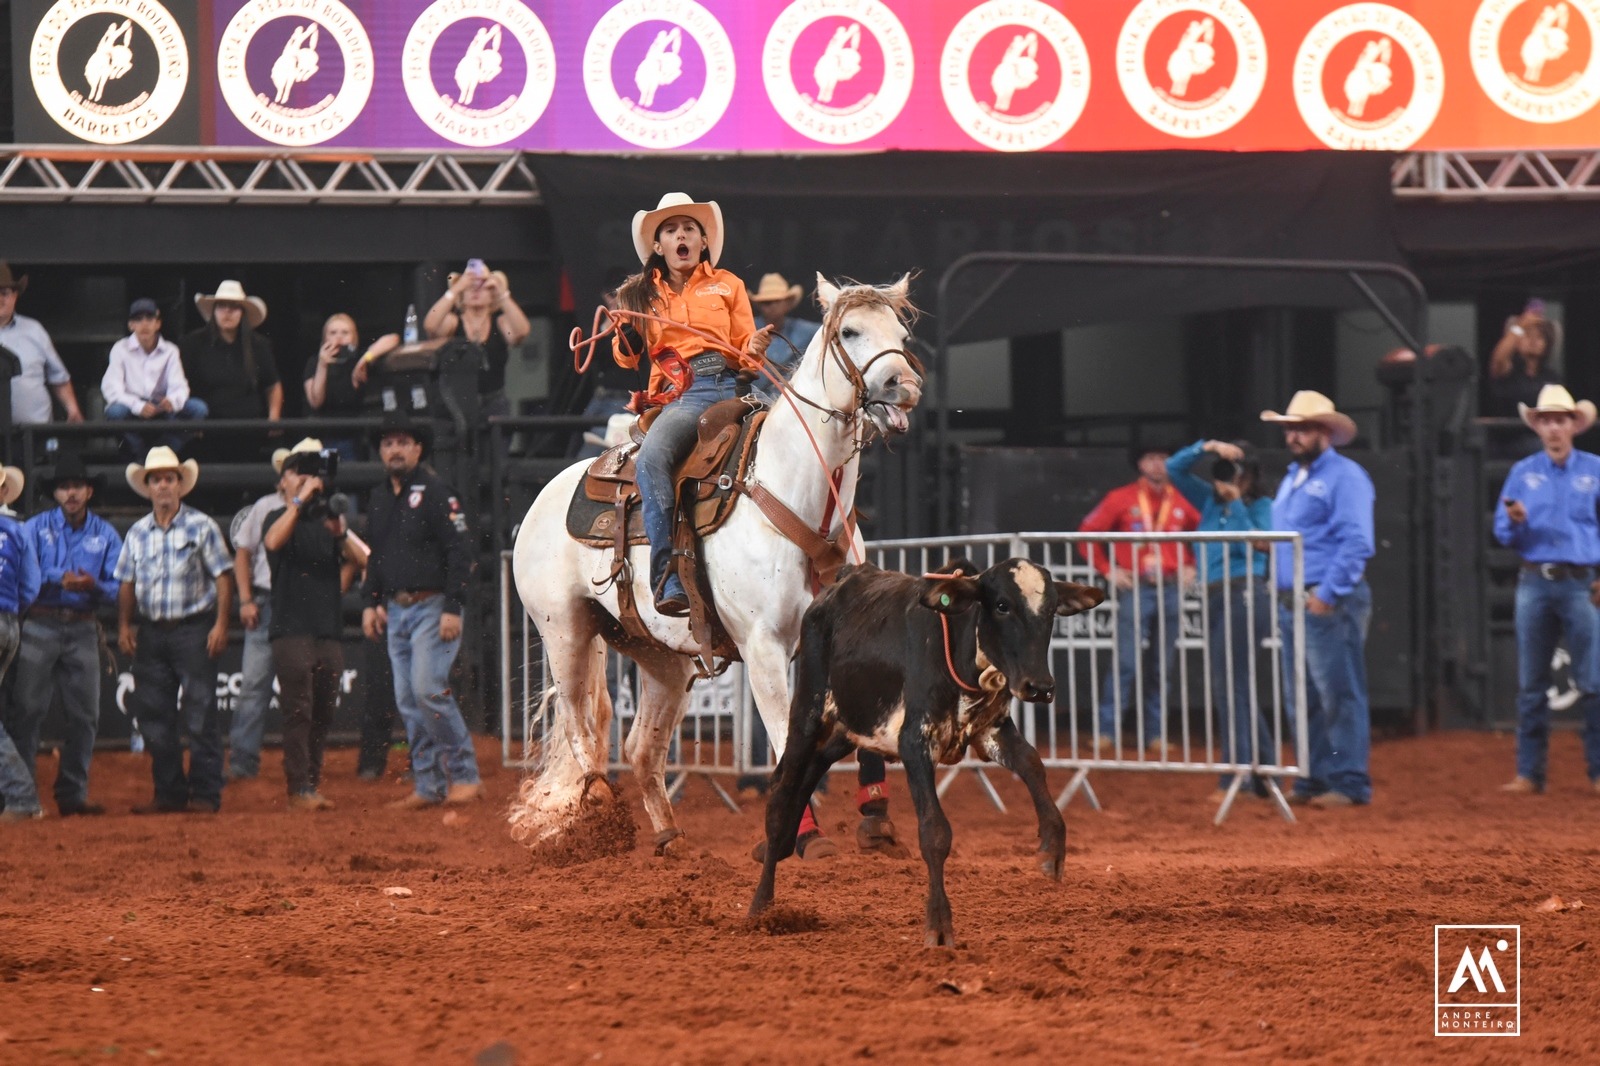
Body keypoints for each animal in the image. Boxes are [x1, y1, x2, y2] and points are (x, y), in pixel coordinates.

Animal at [505, 275, 921, 857]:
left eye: (902, 334)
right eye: (850, 331)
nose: (902, 384)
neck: (794, 497)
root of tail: (547, 495)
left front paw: (877, 820)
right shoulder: (765, 647)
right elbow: (783, 740)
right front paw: (804, 837)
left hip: (661, 657)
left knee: (641, 747)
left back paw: (671, 839)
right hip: (564, 631)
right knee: (579, 727)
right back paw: (599, 819)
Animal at [745, 557, 1100, 941]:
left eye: (1050, 609)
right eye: (1002, 605)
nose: (1040, 686)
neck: (960, 652)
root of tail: (841, 582)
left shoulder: (993, 730)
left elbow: (1032, 764)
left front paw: (1052, 847)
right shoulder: (915, 743)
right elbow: (934, 832)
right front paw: (939, 924)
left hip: (843, 731)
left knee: (808, 776)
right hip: (807, 716)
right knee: (782, 794)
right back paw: (761, 904)